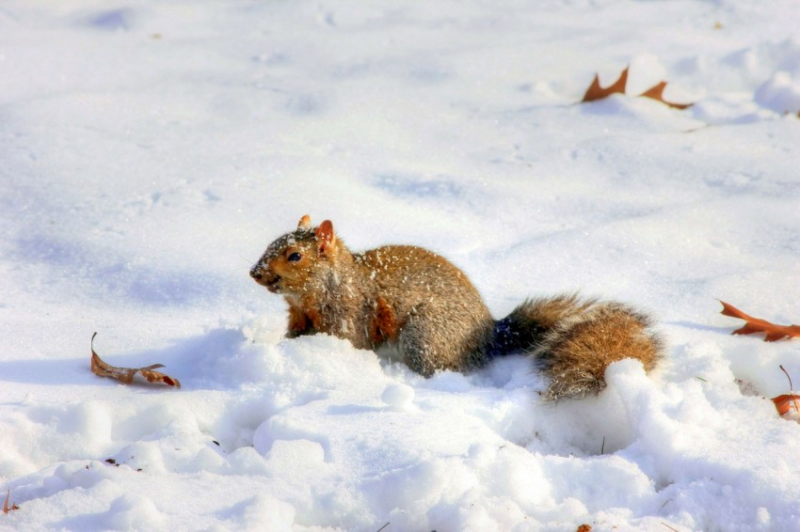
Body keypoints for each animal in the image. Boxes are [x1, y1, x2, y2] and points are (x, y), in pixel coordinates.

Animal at [252, 214, 664, 402]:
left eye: (294, 255)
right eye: (271, 242)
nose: (255, 273)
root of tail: (489, 335)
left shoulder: (350, 316)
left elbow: (347, 341)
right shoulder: (299, 318)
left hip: (425, 335)